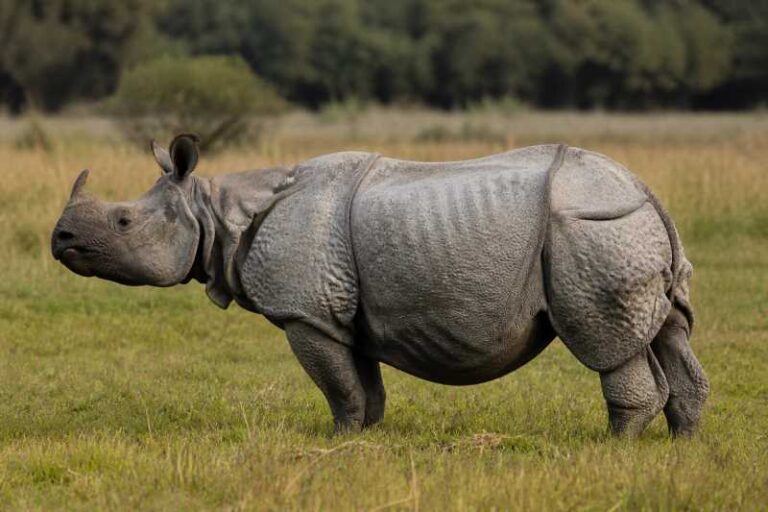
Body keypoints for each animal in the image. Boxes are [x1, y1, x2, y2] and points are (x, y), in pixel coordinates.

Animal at [51, 134, 709, 436]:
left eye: (122, 222)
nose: (60, 239)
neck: (217, 211)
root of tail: (645, 190)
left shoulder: (307, 314)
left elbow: (337, 384)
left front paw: (336, 438)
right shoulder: (345, 311)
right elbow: (364, 383)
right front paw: (364, 439)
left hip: (591, 231)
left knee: (606, 343)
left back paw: (615, 447)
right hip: (625, 228)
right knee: (668, 333)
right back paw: (680, 446)